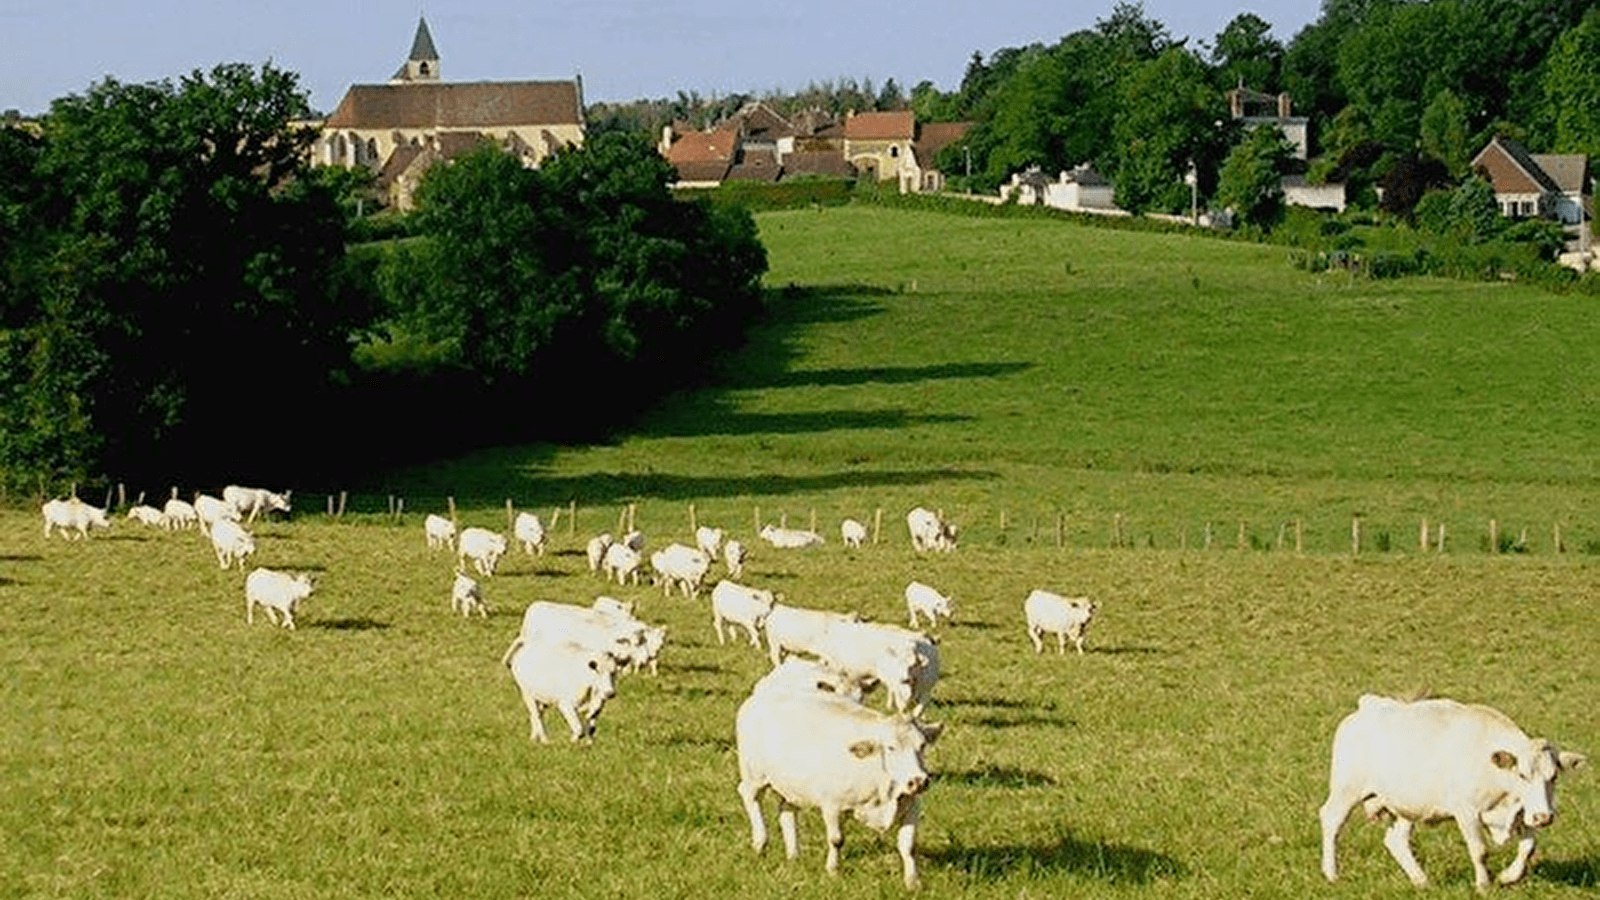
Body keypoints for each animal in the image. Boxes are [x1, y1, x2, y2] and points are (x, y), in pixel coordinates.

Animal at [732, 679, 940, 883]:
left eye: (922, 745)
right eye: (890, 748)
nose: (918, 781)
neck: (883, 791)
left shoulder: (912, 805)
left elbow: (908, 845)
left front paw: (912, 881)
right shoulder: (832, 805)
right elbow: (836, 839)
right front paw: (832, 870)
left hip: (791, 786)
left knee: (787, 811)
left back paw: (793, 855)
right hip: (754, 776)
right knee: (750, 797)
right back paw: (760, 843)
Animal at [1318, 688, 1580, 883]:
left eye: (1554, 777)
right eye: (1523, 775)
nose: (1544, 817)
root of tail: (1369, 706)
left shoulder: (1524, 811)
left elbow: (1529, 846)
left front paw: (1508, 877)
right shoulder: (1467, 812)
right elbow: (1480, 850)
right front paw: (1484, 885)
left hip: (1406, 804)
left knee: (1396, 841)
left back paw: (1421, 881)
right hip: (1346, 790)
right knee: (1331, 821)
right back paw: (1332, 874)